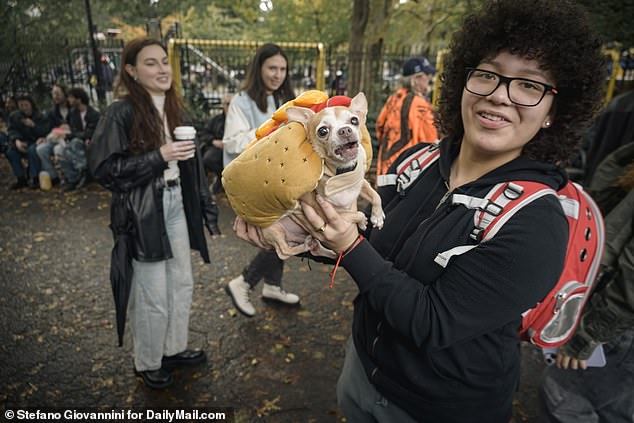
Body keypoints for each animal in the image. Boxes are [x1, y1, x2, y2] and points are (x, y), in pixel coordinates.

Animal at [260, 93, 382, 260]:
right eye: (323, 131)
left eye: (354, 120)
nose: (345, 130)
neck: (342, 174)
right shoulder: (324, 213)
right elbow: (351, 214)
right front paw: (363, 220)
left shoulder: (360, 183)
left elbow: (375, 194)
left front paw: (378, 216)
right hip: (274, 229)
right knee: (283, 252)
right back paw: (305, 246)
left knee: (316, 251)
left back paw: (323, 250)